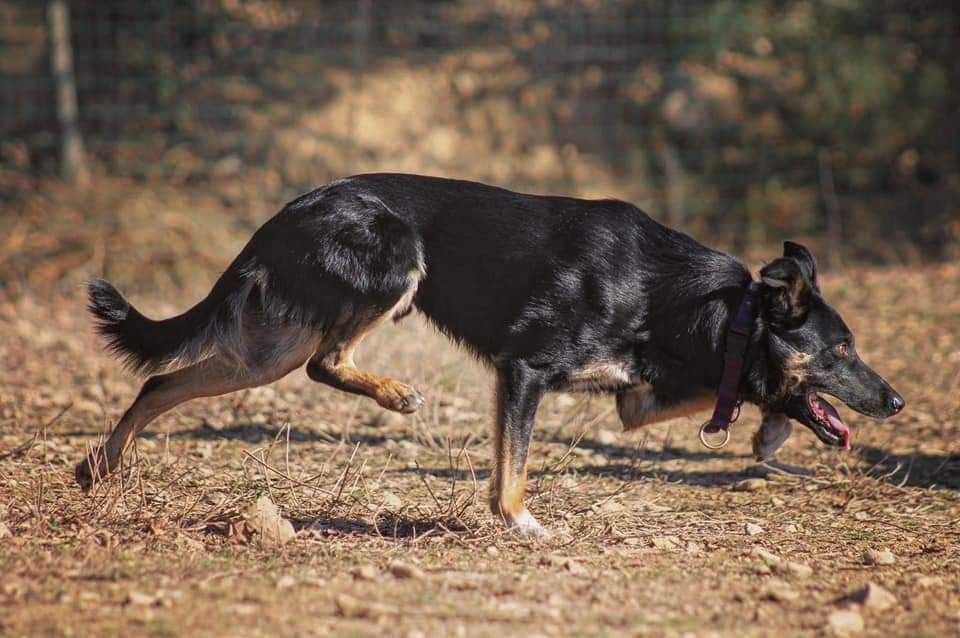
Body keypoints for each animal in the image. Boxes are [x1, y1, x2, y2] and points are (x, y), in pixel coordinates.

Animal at [79, 172, 904, 536]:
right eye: (843, 348)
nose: (897, 401)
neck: (700, 304)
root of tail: (293, 205)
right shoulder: (524, 372)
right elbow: (512, 473)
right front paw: (521, 525)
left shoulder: (639, 397)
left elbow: (739, 394)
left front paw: (769, 431)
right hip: (391, 270)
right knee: (318, 363)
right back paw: (395, 393)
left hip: (269, 348)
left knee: (160, 383)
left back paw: (100, 467)